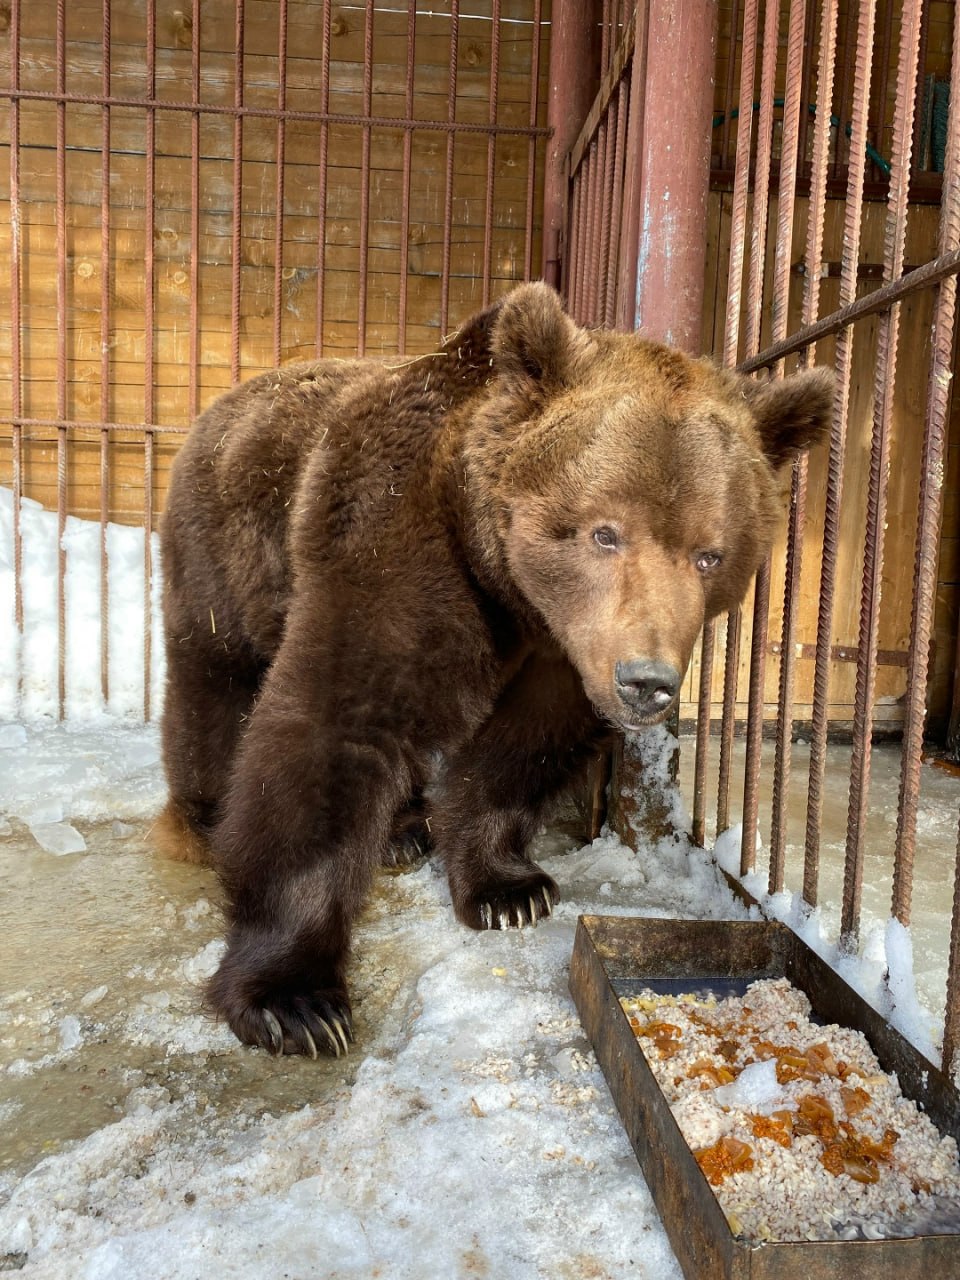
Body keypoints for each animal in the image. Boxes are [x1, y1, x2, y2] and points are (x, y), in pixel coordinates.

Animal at [157, 282, 832, 1058]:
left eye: (710, 554)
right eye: (604, 532)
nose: (646, 682)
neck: (509, 587)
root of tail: (226, 398)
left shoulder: (564, 650)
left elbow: (526, 742)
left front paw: (510, 890)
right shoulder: (392, 547)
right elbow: (336, 723)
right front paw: (293, 999)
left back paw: (404, 826)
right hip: (225, 554)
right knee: (214, 683)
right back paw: (210, 817)